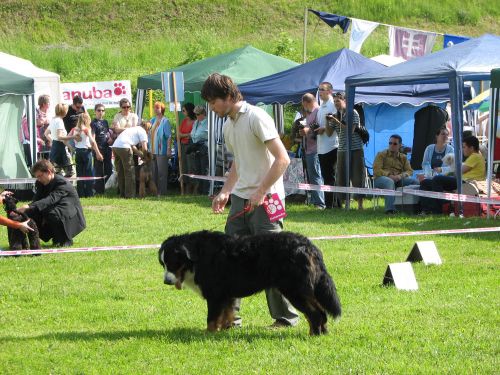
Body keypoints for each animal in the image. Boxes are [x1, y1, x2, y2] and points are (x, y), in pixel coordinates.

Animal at [158, 231, 342, 336]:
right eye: (163, 264)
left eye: (172, 263)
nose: (166, 281)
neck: (198, 256)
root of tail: (309, 245)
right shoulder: (227, 295)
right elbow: (227, 314)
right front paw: (224, 331)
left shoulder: (215, 295)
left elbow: (212, 318)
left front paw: (208, 334)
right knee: (320, 312)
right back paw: (323, 333)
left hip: (294, 290)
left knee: (315, 313)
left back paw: (314, 334)